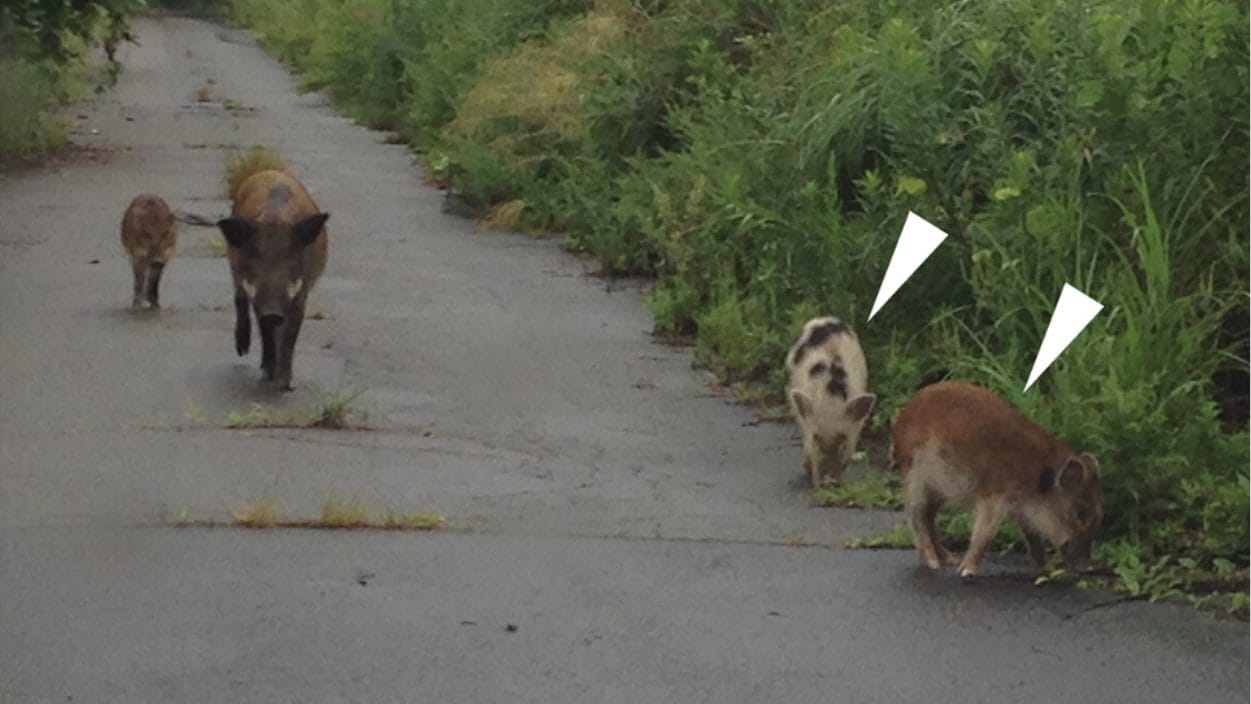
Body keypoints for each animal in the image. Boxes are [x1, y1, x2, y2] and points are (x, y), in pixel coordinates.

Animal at [216, 170, 330, 391]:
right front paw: (268, 374)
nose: (273, 312)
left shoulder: (301, 292)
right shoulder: (255, 294)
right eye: (255, 259)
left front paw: (286, 384)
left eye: (291, 260)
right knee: (239, 298)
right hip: (233, 266)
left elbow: (291, 334)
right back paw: (243, 351)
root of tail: (270, 171)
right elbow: (264, 329)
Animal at [784, 316, 878, 488]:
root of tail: (825, 319)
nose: (828, 482)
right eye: (816, 437)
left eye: (842, 437)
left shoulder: (855, 429)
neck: (831, 399)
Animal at [890, 380, 1103, 578]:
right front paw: (966, 572)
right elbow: (985, 533)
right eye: (1081, 513)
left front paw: (1048, 570)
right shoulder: (993, 497)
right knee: (915, 515)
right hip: (915, 477)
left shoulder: (1024, 512)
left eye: (1099, 515)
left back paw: (950, 559)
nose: (1088, 567)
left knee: (929, 516)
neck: (1036, 482)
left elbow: (1033, 538)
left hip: (939, 489)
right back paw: (934, 564)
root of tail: (899, 422)